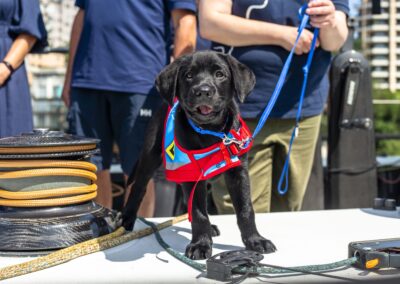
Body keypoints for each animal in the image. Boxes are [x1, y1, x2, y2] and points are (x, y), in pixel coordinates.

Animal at [122, 51, 276, 260]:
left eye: (220, 74)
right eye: (188, 75)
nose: (203, 91)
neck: (211, 132)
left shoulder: (238, 172)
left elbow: (245, 209)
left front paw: (255, 240)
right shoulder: (191, 175)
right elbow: (198, 212)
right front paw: (200, 245)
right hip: (150, 157)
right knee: (139, 189)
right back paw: (126, 221)